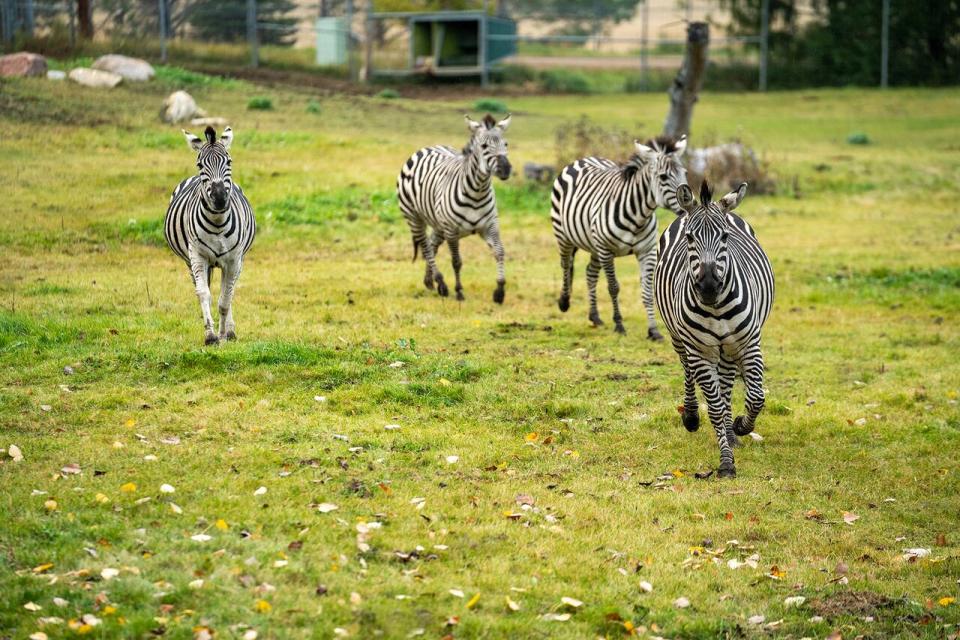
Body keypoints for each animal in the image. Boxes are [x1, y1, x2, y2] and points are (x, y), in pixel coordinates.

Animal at [166, 125, 256, 344]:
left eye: (229, 162)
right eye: (200, 164)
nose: (219, 198)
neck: (217, 223)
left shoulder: (233, 260)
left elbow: (225, 299)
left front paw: (224, 334)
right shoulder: (197, 256)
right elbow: (203, 294)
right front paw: (210, 335)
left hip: (234, 263)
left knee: (229, 291)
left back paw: (230, 331)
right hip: (191, 262)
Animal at [398, 114, 512, 304]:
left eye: (506, 144)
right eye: (484, 146)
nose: (506, 169)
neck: (477, 192)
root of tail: (428, 147)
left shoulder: (490, 225)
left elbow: (500, 252)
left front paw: (500, 291)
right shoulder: (452, 230)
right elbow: (456, 261)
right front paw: (458, 291)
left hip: (438, 223)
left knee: (432, 244)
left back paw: (430, 281)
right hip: (414, 218)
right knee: (426, 248)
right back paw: (441, 284)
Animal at [552, 133, 688, 338]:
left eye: (685, 174)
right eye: (663, 177)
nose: (690, 204)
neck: (638, 217)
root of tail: (583, 159)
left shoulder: (647, 251)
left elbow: (647, 290)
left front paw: (653, 330)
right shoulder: (606, 250)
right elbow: (613, 287)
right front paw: (619, 324)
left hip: (594, 246)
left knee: (590, 273)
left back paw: (595, 316)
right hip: (565, 236)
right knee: (566, 265)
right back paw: (564, 301)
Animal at [656, 179, 776, 476]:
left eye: (724, 237)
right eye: (689, 238)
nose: (709, 287)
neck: (716, 307)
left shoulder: (749, 343)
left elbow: (756, 397)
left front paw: (740, 427)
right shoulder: (700, 350)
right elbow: (715, 408)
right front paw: (726, 462)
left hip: (728, 348)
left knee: (727, 383)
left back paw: (733, 435)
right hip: (680, 338)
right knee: (688, 371)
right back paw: (690, 417)